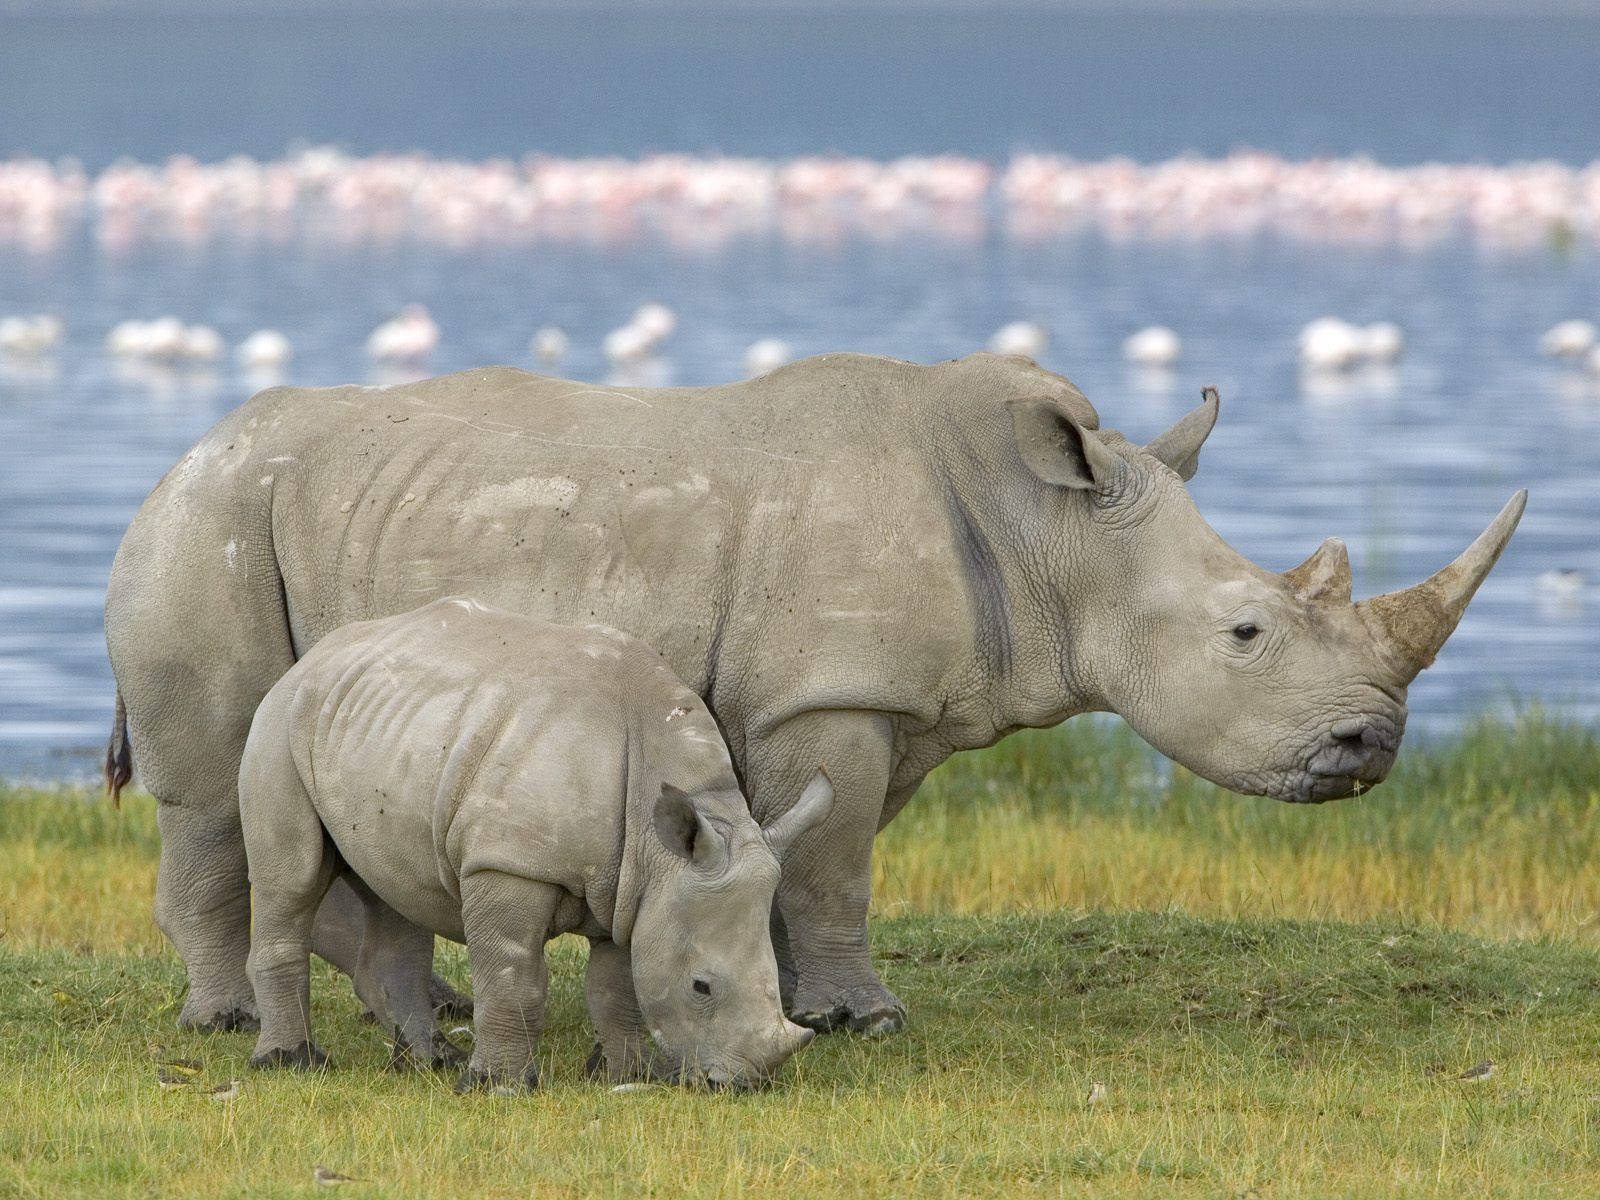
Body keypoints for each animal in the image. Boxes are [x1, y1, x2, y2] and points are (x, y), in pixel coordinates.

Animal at [104, 352, 1525, 1036]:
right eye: (1245, 633)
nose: (1371, 743)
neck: (1048, 533)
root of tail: (182, 454)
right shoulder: (827, 694)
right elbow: (836, 864)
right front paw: (865, 1021)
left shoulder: (867, 704)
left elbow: (808, 856)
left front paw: (779, 999)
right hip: (209, 528)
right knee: (216, 789)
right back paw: (231, 1021)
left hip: (277, 516)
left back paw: (435, 1007)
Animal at [238, 597, 827, 1090]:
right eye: (701, 986)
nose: (745, 1083)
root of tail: (314, 657)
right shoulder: (509, 864)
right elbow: (513, 976)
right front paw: (497, 1087)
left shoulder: (632, 887)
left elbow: (617, 986)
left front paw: (627, 1075)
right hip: (278, 723)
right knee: (291, 882)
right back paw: (290, 1063)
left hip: (379, 726)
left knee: (395, 890)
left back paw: (431, 1061)